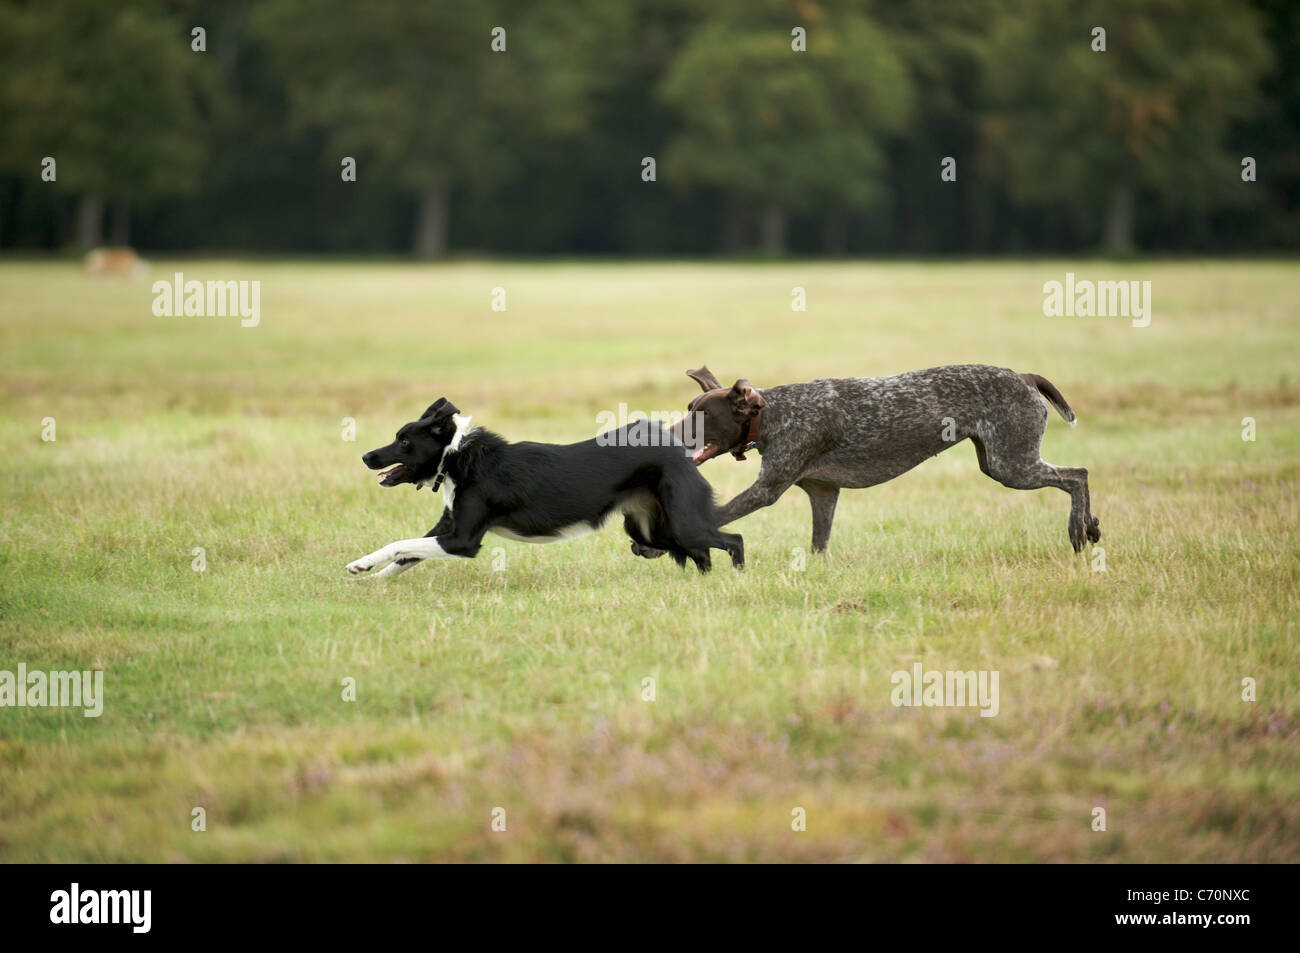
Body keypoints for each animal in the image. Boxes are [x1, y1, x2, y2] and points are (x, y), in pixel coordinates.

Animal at [345, 397, 743, 577]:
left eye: (404, 442)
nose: (365, 456)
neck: (458, 456)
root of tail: (677, 448)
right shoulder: (448, 528)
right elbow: (406, 553)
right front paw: (369, 572)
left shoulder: (462, 540)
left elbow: (402, 545)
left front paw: (362, 568)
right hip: (649, 532)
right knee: (703, 555)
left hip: (683, 523)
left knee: (732, 540)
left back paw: (736, 579)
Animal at [644, 364, 1102, 556]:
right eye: (689, 408)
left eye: (701, 416)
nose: (664, 434)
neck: (773, 415)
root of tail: (1024, 377)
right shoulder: (823, 492)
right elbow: (820, 541)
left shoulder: (766, 489)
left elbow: (716, 516)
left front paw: (653, 545)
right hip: (998, 462)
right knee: (1077, 475)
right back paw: (1092, 525)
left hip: (1012, 465)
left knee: (1077, 474)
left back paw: (1078, 530)